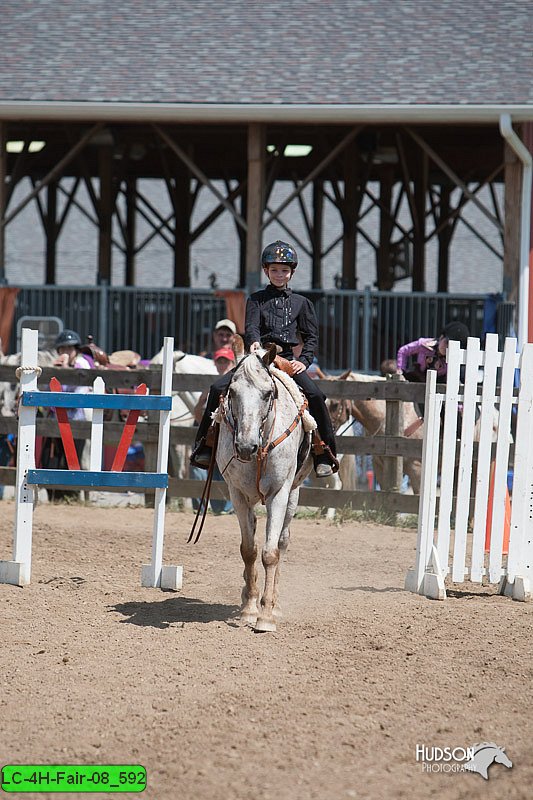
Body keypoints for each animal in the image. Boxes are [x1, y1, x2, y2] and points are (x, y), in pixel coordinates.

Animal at [214, 340, 314, 636]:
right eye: (232, 392)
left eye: (268, 393)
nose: (246, 447)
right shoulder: (237, 494)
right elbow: (249, 550)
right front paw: (249, 609)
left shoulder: (278, 493)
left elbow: (271, 553)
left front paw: (266, 616)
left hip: (293, 494)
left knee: (282, 542)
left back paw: (274, 604)